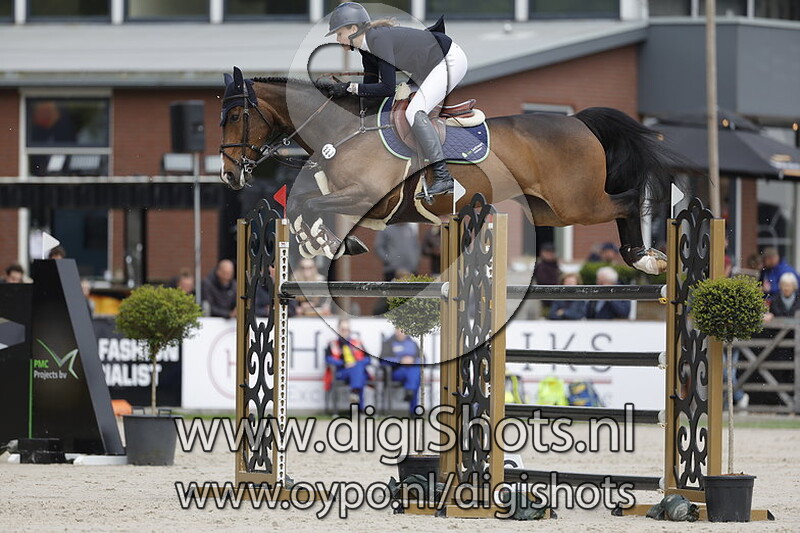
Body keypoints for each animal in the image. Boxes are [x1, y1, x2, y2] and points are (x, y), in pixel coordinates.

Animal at [219, 67, 676, 275]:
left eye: (237, 115)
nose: (228, 175)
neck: (345, 130)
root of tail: (579, 122)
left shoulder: (367, 196)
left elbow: (310, 205)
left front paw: (327, 241)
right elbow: (304, 206)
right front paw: (331, 242)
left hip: (575, 202)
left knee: (627, 200)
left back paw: (643, 258)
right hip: (549, 210)